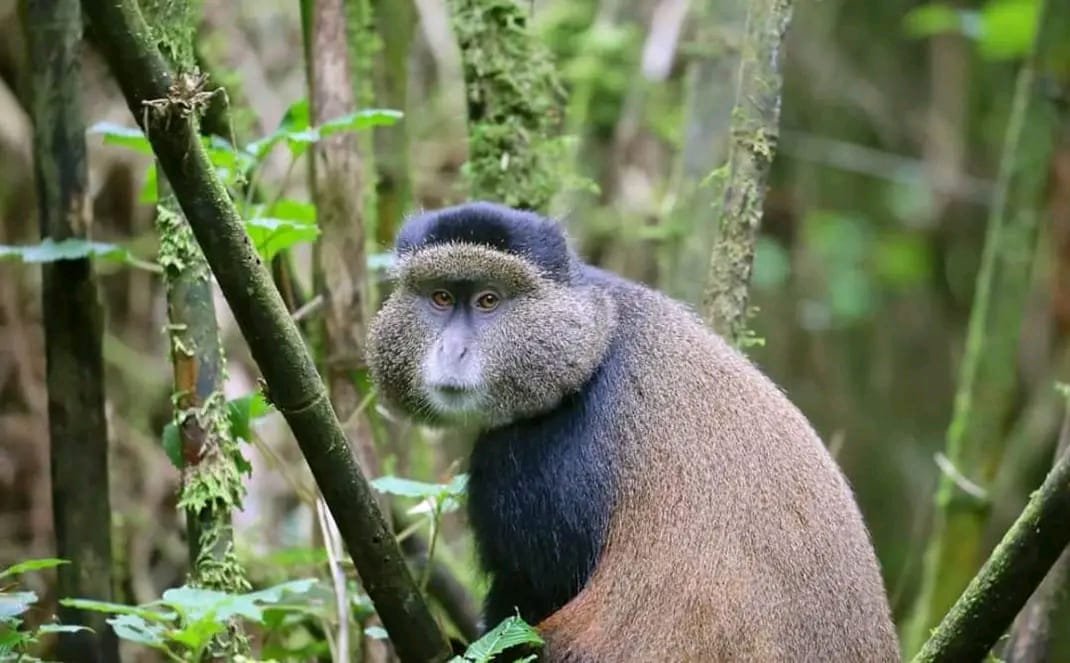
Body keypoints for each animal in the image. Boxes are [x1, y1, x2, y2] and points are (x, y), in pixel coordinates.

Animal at [367, 201, 900, 662]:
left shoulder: (539, 467)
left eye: (488, 301)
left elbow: (527, 595)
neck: (593, 339)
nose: (452, 351)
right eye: (440, 297)